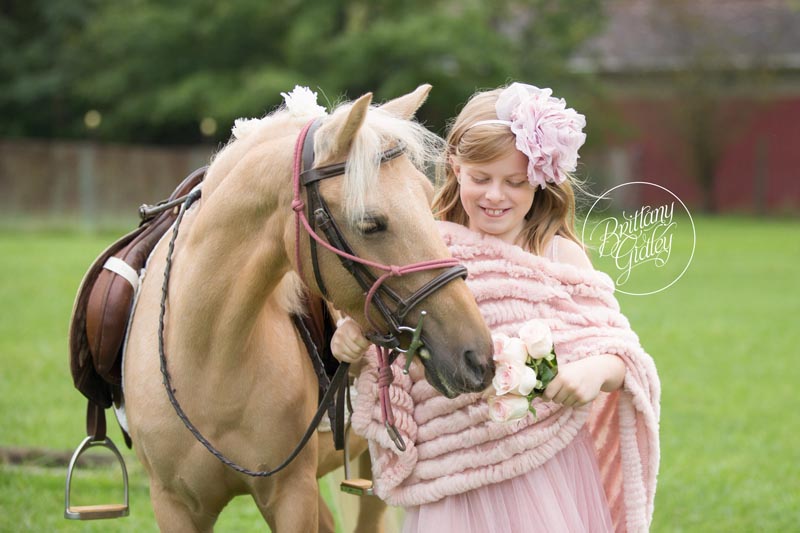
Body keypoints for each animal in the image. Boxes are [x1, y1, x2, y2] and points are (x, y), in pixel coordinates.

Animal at [122, 85, 494, 532]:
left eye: (427, 198)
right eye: (371, 223)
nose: (476, 356)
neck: (206, 359)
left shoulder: (291, 495)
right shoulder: (174, 505)